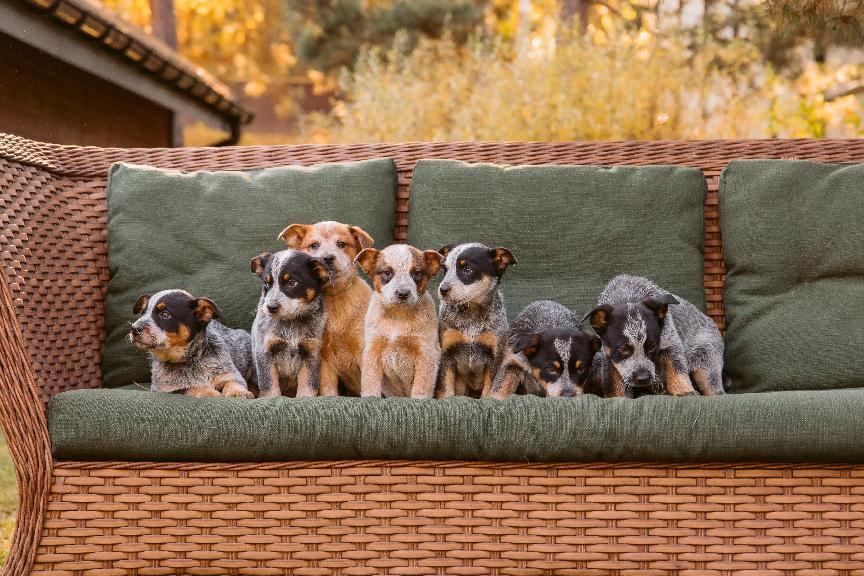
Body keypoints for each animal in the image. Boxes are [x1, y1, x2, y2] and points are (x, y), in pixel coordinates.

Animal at [251, 250, 332, 398]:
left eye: (292, 283)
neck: (291, 323)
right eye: (266, 283)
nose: (271, 307)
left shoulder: (311, 352)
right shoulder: (265, 351)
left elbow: (308, 384)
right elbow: (269, 385)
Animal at [276, 220, 372, 396]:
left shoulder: (363, 348)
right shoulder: (323, 356)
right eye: (313, 245)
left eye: (342, 244)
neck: (335, 298)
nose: (326, 258)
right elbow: (328, 387)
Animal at [352, 245, 442, 398]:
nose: (402, 293)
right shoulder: (373, 350)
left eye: (417, 273)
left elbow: (422, 387)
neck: (398, 316)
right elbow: (370, 382)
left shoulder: (426, 353)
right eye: (387, 272)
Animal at [436, 241, 516, 398]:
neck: (471, 316)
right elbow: (445, 389)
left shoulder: (494, 357)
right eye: (445, 269)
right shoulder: (446, 353)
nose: (443, 289)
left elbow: (488, 390)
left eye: (467, 269)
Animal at [584, 274, 724, 396]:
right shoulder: (609, 356)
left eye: (652, 347)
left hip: (706, 360)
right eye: (623, 349)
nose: (643, 378)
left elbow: (676, 368)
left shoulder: (670, 343)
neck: (628, 296)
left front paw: (684, 391)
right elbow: (614, 384)